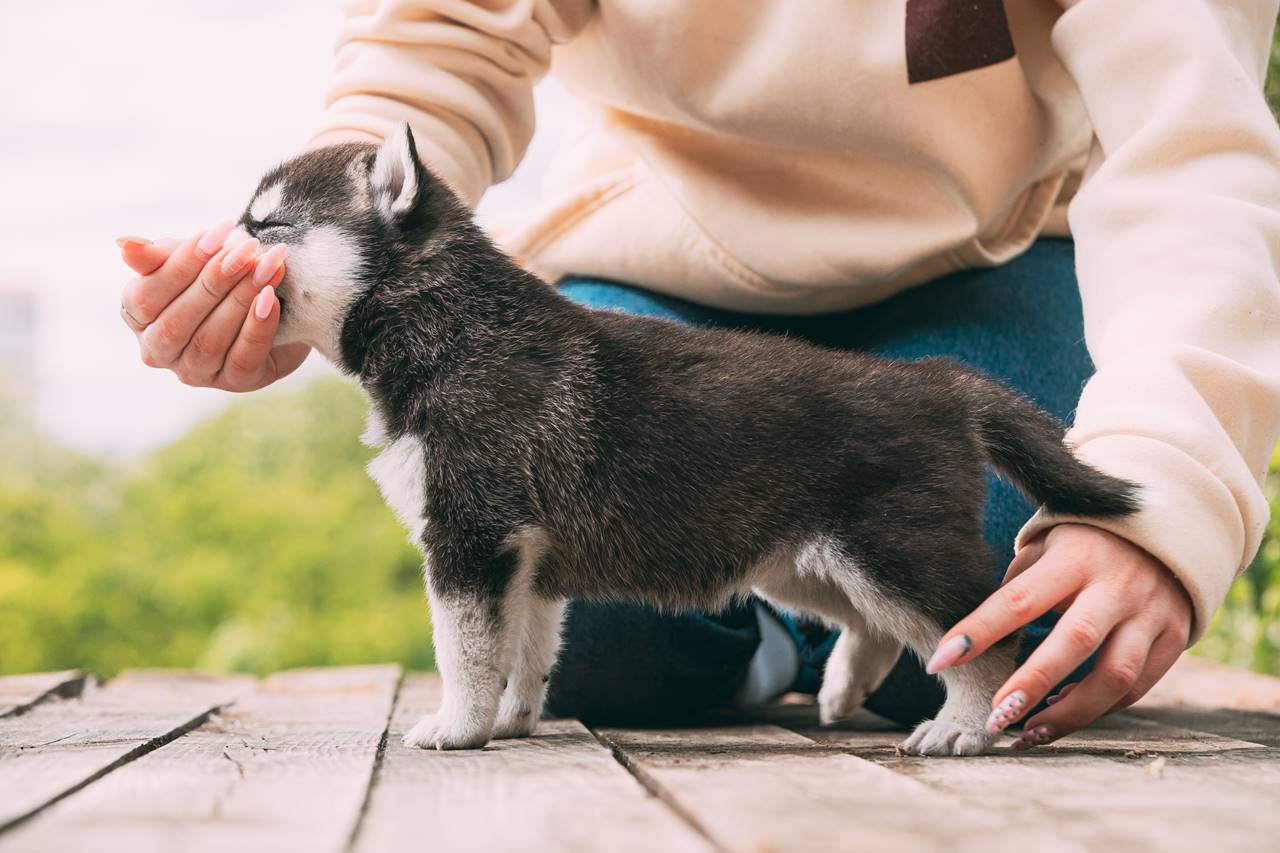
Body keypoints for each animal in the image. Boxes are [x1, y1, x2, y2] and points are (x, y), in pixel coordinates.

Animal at [235, 124, 1136, 753]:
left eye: (266, 225)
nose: (215, 244)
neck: (448, 321)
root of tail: (941, 383)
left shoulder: (472, 536)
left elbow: (463, 649)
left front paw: (457, 725)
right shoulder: (524, 558)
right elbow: (526, 649)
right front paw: (514, 719)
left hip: (892, 550)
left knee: (985, 632)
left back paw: (966, 725)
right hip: (803, 560)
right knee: (877, 624)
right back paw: (845, 688)